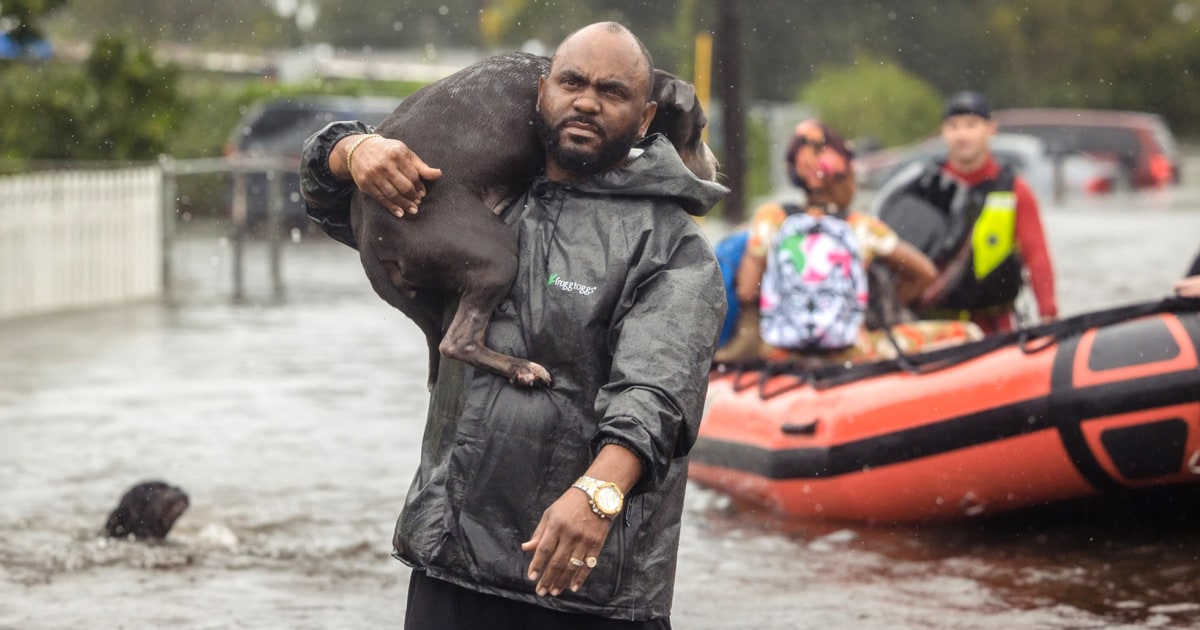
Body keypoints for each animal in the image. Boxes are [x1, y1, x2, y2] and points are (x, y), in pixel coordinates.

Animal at [350, 52, 715, 388]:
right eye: (700, 127)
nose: (714, 164)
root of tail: (370, 236)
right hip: (495, 255)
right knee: (457, 342)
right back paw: (522, 368)